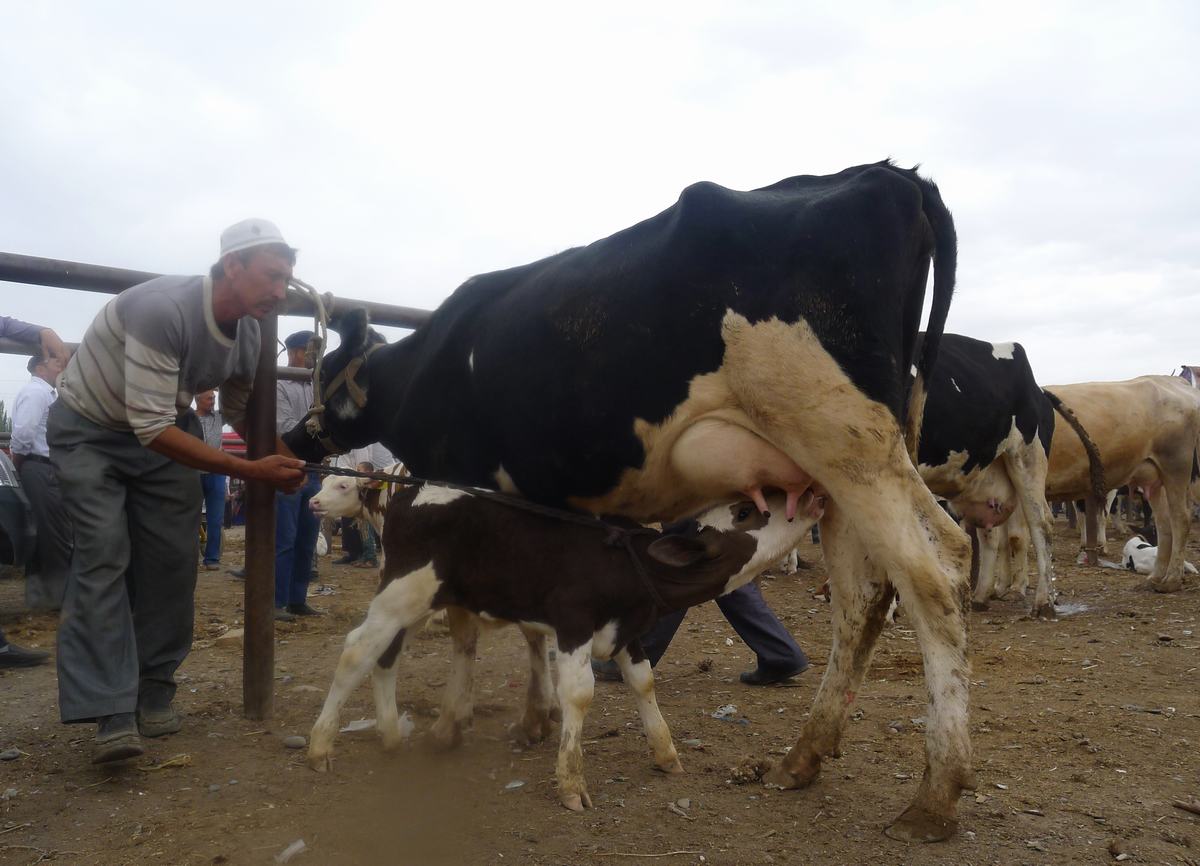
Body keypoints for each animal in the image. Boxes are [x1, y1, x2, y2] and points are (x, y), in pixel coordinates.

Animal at [304, 484, 820, 810]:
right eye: (744, 512)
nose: (809, 494)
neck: (627, 566)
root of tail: (408, 493)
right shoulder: (573, 624)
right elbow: (578, 693)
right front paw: (571, 782)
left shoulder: (627, 632)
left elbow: (644, 682)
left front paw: (666, 754)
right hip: (402, 590)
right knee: (356, 651)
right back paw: (320, 746)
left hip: (421, 601)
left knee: (385, 656)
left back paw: (391, 734)